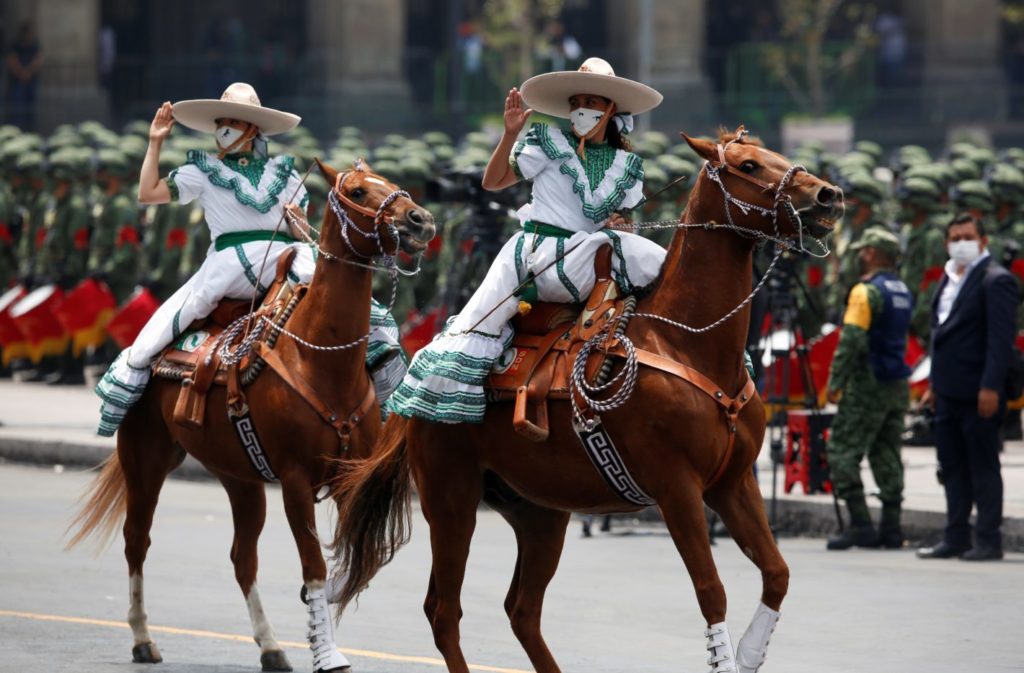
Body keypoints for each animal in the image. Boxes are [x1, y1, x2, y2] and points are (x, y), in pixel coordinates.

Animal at [64, 159, 432, 667]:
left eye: (392, 185)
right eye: (358, 190)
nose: (420, 221)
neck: (320, 358)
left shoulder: (349, 476)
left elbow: (355, 559)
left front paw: (324, 612)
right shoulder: (296, 480)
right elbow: (314, 565)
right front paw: (326, 652)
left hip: (240, 477)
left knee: (242, 557)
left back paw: (271, 646)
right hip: (147, 458)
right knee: (137, 539)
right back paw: (142, 638)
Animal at [331, 128, 843, 667]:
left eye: (775, 155)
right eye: (748, 166)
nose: (828, 196)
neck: (688, 343)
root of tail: (410, 396)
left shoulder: (733, 483)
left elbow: (777, 573)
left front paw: (749, 654)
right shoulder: (677, 488)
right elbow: (711, 590)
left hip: (540, 511)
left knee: (521, 609)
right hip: (452, 501)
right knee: (443, 610)